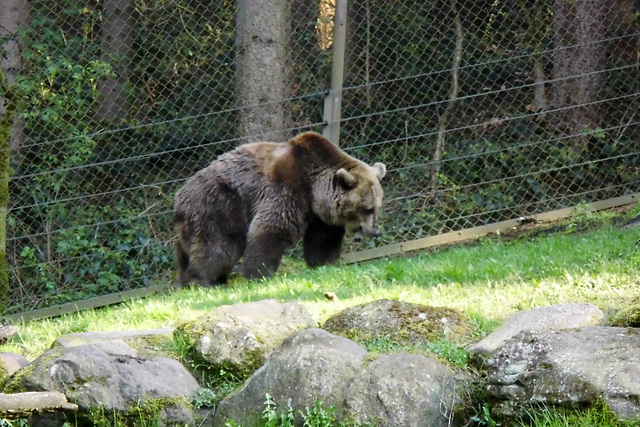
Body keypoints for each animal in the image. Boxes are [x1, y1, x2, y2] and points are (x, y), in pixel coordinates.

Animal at [172, 132, 388, 286]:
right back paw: (201, 280)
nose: (375, 231)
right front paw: (259, 274)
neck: (314, 190)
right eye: (367, 208)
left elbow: (322, 240)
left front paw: (325, 263)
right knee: (219, 246)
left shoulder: (320, 216)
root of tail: (179, 197)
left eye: (378, 207)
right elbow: (272, 228)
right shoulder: (286, 188)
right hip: (219, 204)